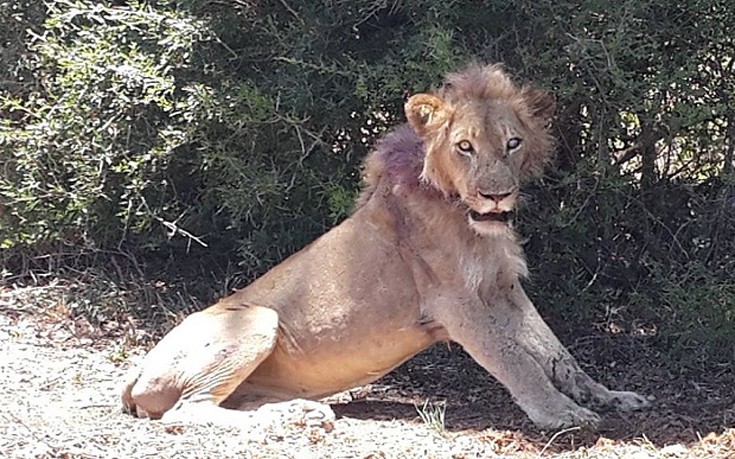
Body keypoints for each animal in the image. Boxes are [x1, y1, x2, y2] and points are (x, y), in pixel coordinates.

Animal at [122, 63, 648, 432]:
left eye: (513, 143)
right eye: (464, 147)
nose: (497, 195)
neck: (467, 220)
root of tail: (139, 369)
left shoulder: (502, 289)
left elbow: (557, 352)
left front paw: (611, 397)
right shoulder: (455, 302)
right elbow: (516, 360)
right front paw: (562, 414)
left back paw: (298, 413)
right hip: (257, 319)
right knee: (185, 411)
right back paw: (290, 420)